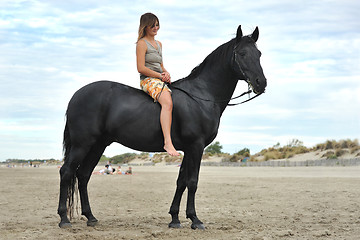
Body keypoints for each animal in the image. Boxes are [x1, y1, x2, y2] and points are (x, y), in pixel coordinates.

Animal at [58, 25, 268, 230]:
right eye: (242, 53)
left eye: (258, 54)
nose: (261, 83)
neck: (201, 95)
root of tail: (76, 95)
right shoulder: (196, 146)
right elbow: (193, 182)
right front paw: (195, 220)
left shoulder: (188, 149)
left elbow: (181, 182)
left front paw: (175, 218)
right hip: (83, 144)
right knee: (67, 172)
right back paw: (64, 219)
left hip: (98, 145)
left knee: (83, 175)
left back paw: (91, 217)